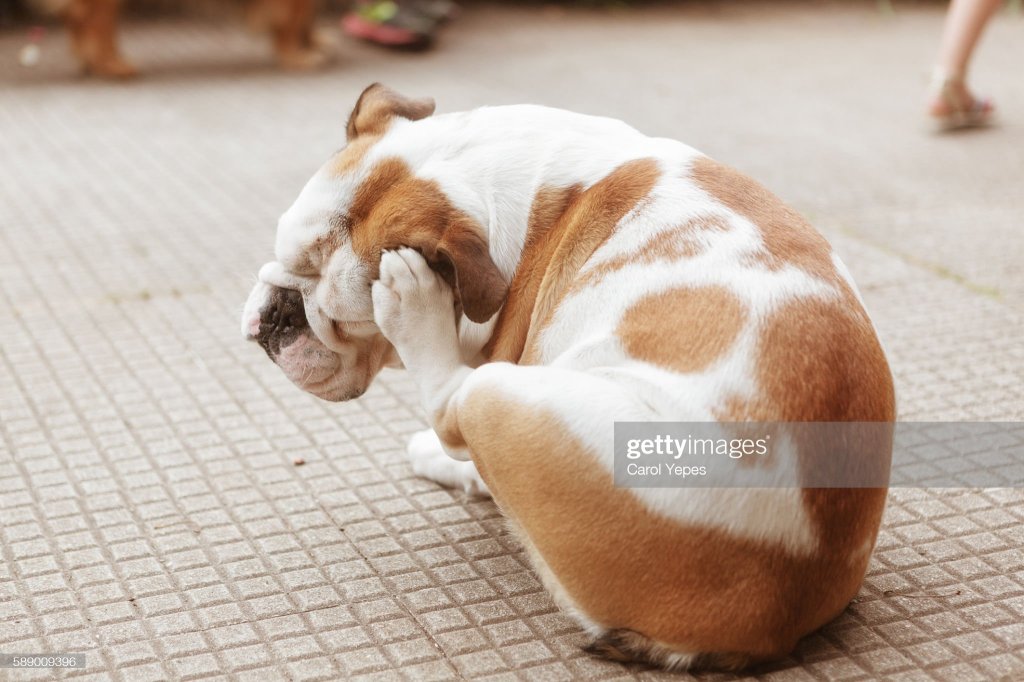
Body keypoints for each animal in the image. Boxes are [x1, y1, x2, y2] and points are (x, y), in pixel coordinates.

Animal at [36, 0, 324, 77]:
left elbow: (305, 17)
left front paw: (314, 41)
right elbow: (292, 18)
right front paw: (297, 56)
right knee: (93, 19)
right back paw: (112, 65)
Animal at [241, 84, 896, 670]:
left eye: (343, 320)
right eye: (281, 253)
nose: (278, 314)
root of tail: (782, 600)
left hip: (505, 396)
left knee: (454, 405)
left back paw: (417, 314)